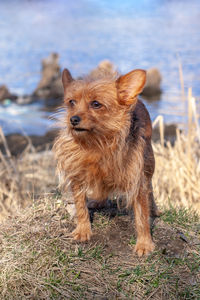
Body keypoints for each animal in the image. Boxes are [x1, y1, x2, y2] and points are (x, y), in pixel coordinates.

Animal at [53, 67, 159, 255]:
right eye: (71, 102)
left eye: (96, 104)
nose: (73, 119)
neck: (98, 142)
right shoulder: (78, 175)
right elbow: (80, 206)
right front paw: (83, 230)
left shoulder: (137, 182)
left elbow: (141, 215)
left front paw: (144, 243)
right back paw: (98, 201)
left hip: (148, 163)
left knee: (150, 188)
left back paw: (154, 209)